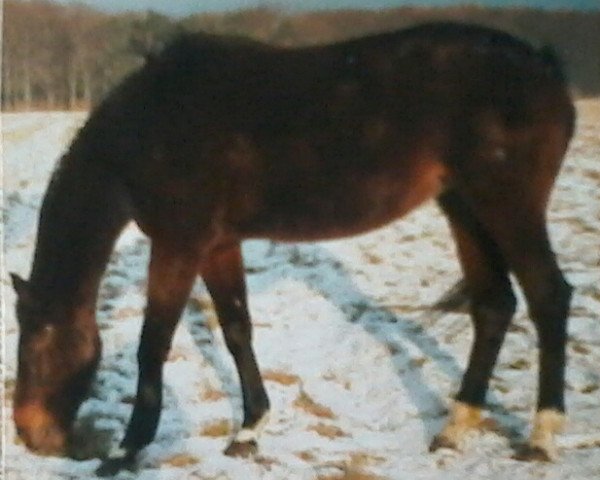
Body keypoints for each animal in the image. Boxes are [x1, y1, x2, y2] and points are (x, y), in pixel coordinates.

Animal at [10, 22, 572, 472]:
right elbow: (237, 330)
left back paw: (543, 437)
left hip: (508, 205)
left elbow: (154, 344)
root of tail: (543, 65)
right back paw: (456, 428)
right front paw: (249, 431)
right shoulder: (217, 247)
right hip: (464, 207)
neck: (152, 125)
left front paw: (127, 451)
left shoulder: (178, 245)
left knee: (549, 296)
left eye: (37, 346)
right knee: (494, 305)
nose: (29, 433)